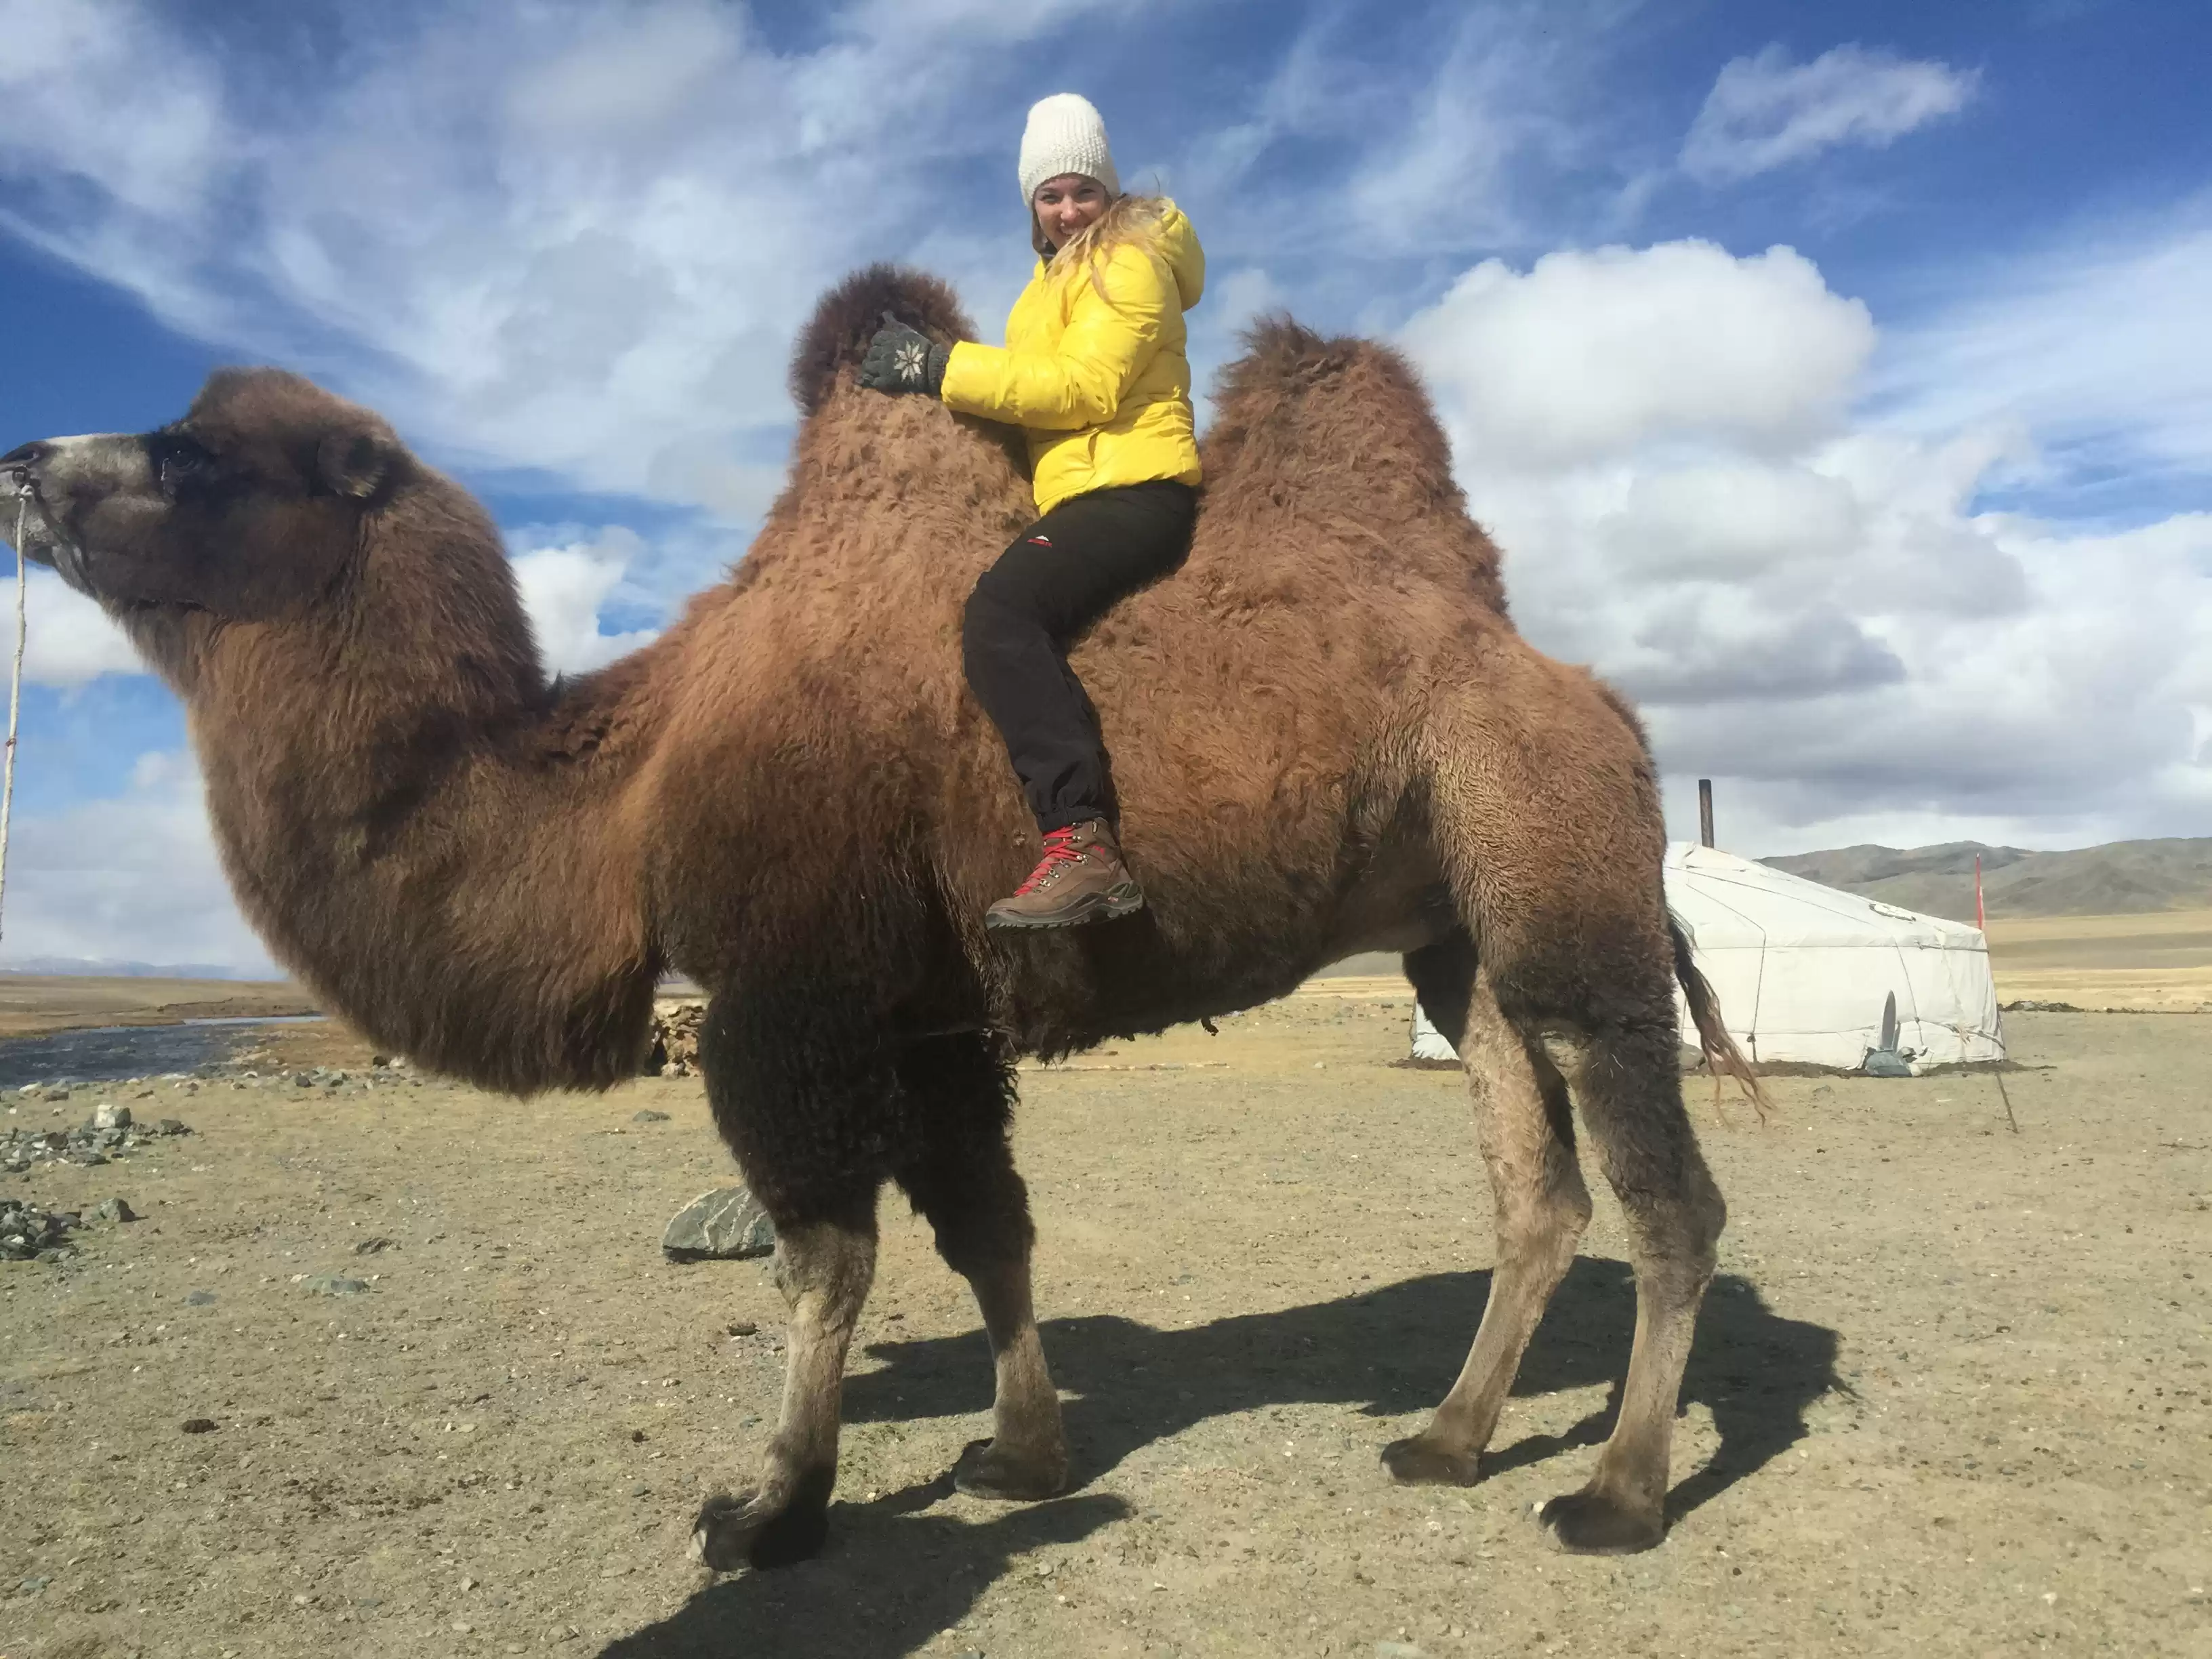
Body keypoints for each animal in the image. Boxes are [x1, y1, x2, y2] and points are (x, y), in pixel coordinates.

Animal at [2, 266, 1754, 1570]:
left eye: (190, 455)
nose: (23, 463)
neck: (625, 786)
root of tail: (1579, 686)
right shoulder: (921, 1006)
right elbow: (987, 1223)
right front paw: (1024, 1454)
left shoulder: (788, 995)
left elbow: (824, 1252)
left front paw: (771, 1506)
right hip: (1451, 924)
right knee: (1534, 1185)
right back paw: (1446, 1440)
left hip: (1559, 854)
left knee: (1662, 1184)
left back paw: (1616, 1492)